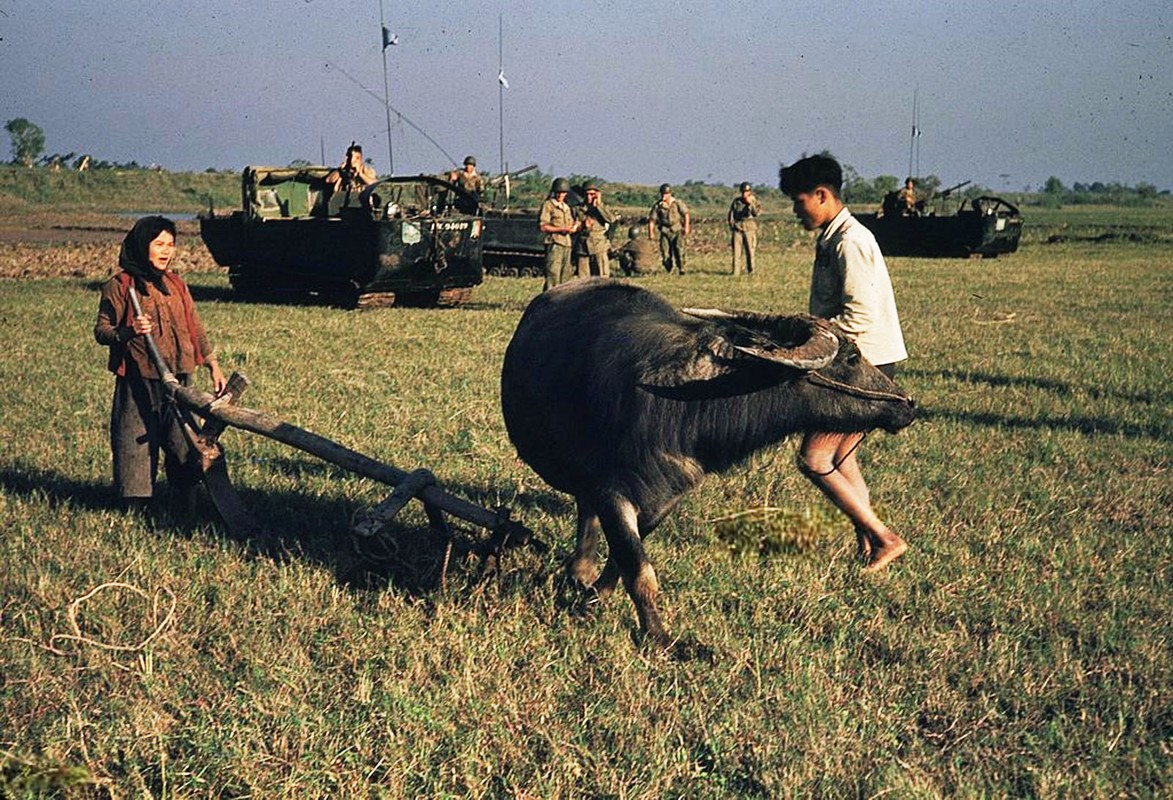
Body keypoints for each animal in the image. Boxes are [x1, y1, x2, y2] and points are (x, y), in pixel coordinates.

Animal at [499, 276, 910, 642]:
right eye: (853, 357)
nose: (906, 404)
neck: (678, 401)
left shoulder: (667, 496)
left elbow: (623, 559)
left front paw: (596, 595)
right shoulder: (611, 490)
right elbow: (639, 568)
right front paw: (659, 637)